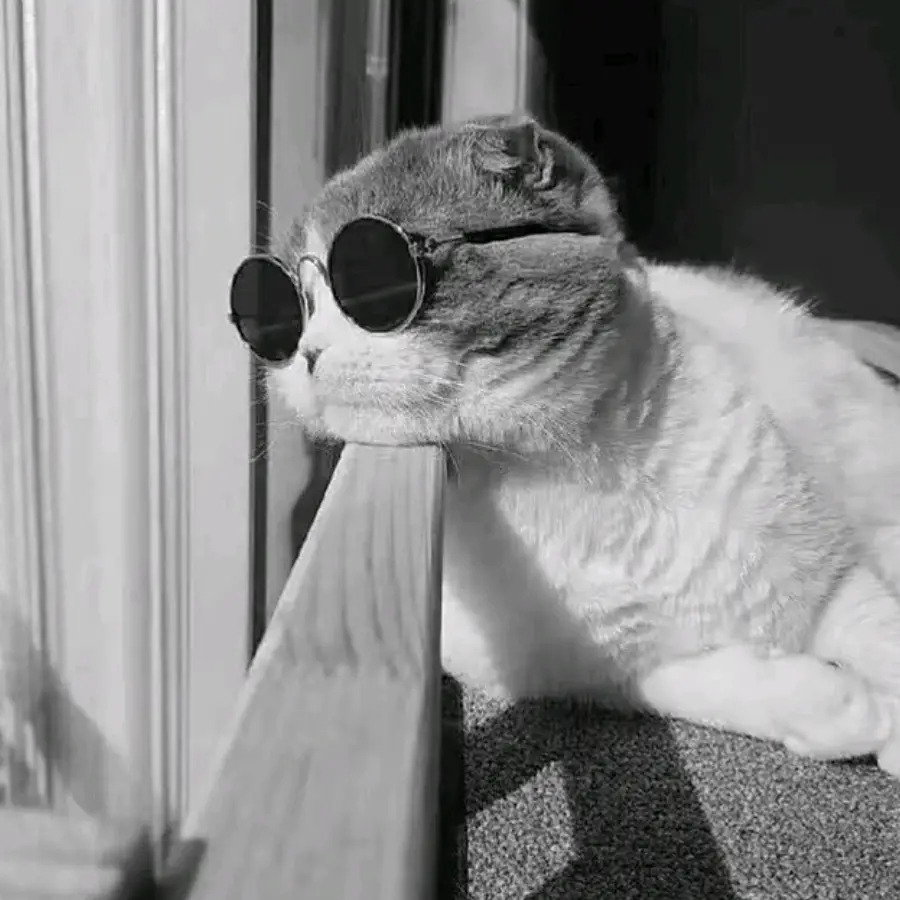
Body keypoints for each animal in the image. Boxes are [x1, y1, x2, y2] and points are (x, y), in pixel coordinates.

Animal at [269, 114, 900, 776]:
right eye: (293, 310)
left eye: (371, 281)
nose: (306, 351)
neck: (581, 480)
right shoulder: (589, 671)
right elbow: (688, 684)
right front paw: (838, 706)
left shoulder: (829, 565)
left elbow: (877, 625)